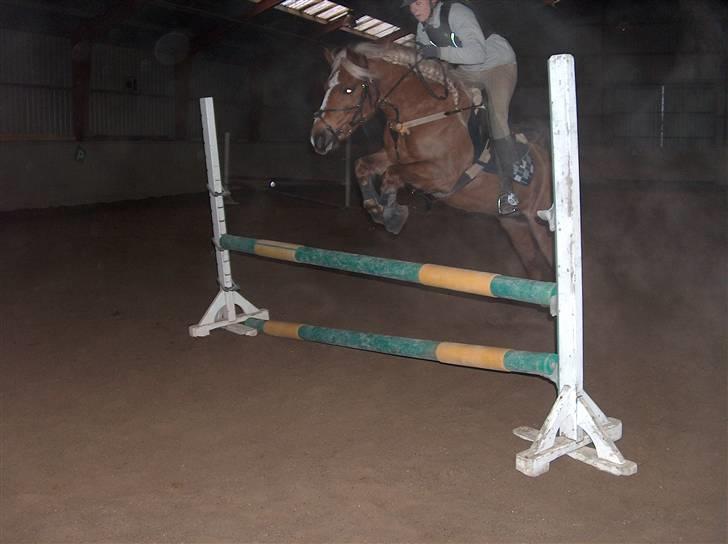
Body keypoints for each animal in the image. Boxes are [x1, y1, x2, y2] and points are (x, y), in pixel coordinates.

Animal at [310, 42, 556, 280]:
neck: (420, 114)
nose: (318, 138)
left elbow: (393, 174)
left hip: (540, 225)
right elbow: (363, 165)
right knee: (534, 268)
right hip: (515, 225)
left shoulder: (444, 175)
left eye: (348, 89)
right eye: (325, 87)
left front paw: (392, 215)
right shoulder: (392, 156)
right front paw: (374, 208)